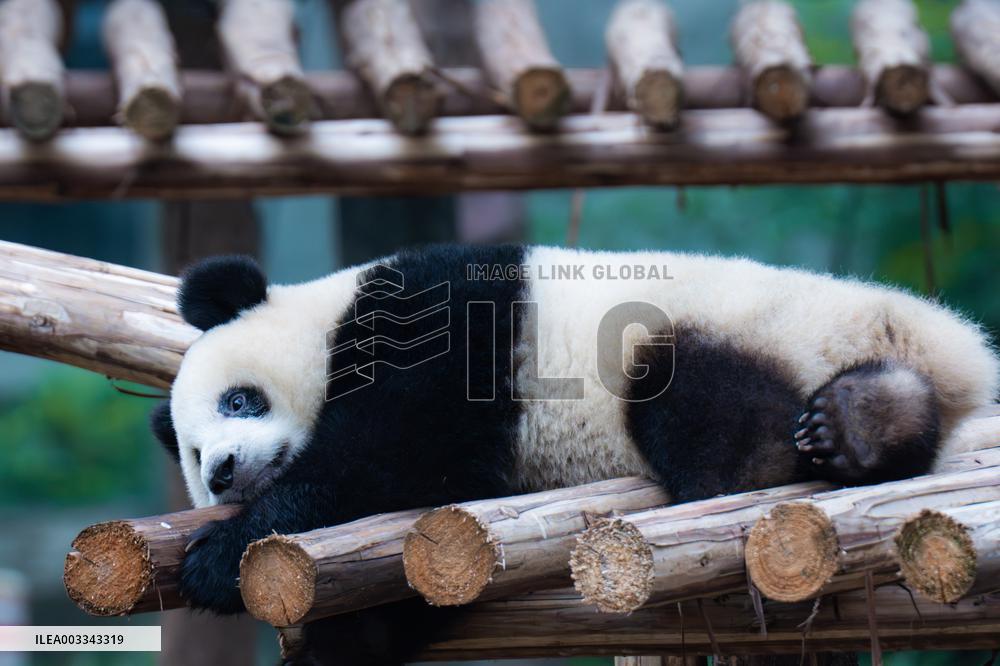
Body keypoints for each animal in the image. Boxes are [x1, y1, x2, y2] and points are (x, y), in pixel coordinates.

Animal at [151, 244, 998, 665]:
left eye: (238, 401)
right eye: (191, 455)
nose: (223, 472)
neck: (329, 324)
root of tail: (947, 347)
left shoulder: (435, 323)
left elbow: (381, 459)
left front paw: (217, 559)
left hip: (740, 325)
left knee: (702, 403)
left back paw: (772, 458)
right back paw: (872, 419)